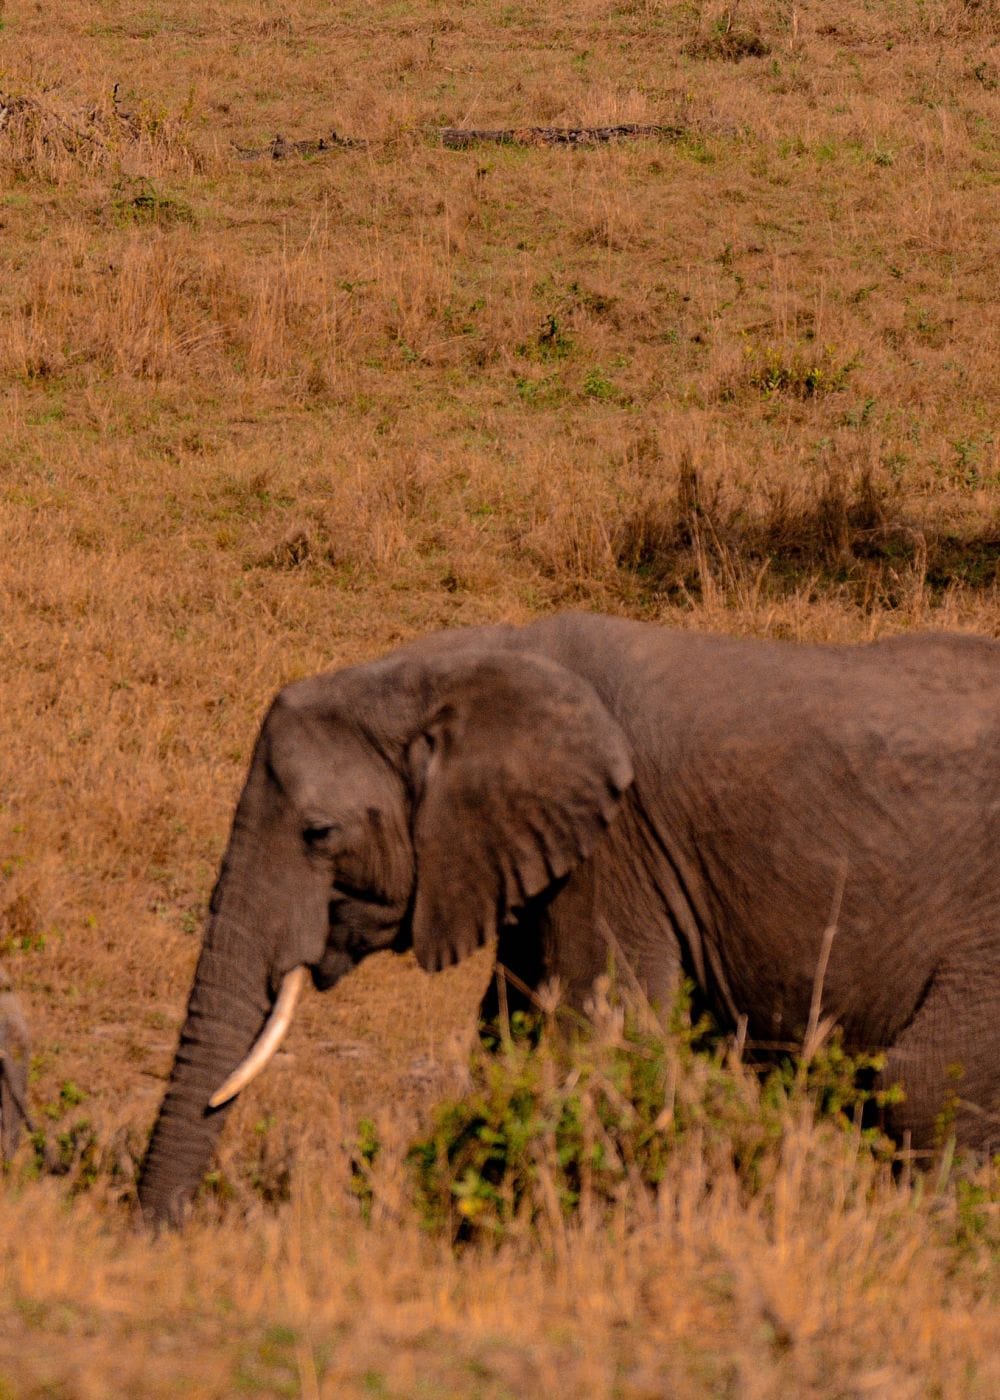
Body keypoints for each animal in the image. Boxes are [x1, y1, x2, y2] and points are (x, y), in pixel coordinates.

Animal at [138, 612, 1000, 1223]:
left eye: (319, 834)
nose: (160, 1231)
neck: (462, 663)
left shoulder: (616, 851)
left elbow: (594, 1033)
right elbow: (509, 1038)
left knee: (924, 1087)